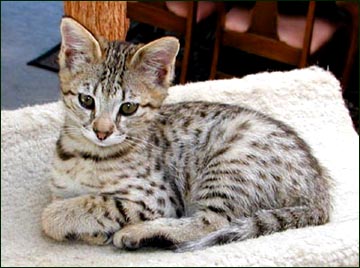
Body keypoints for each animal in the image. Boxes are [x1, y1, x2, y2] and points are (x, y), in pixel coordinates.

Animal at [41, 17, 332, 252]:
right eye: (86, 101)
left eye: (128, 107)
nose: (102, 132)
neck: (86, 154)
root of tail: (320, 194)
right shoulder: (60, 187)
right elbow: (67, 199)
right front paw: (91, 232)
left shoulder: (159, 199)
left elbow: (85, 205)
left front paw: (62, 219)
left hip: (231, 164)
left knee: (214, 223)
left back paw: (138, 234)